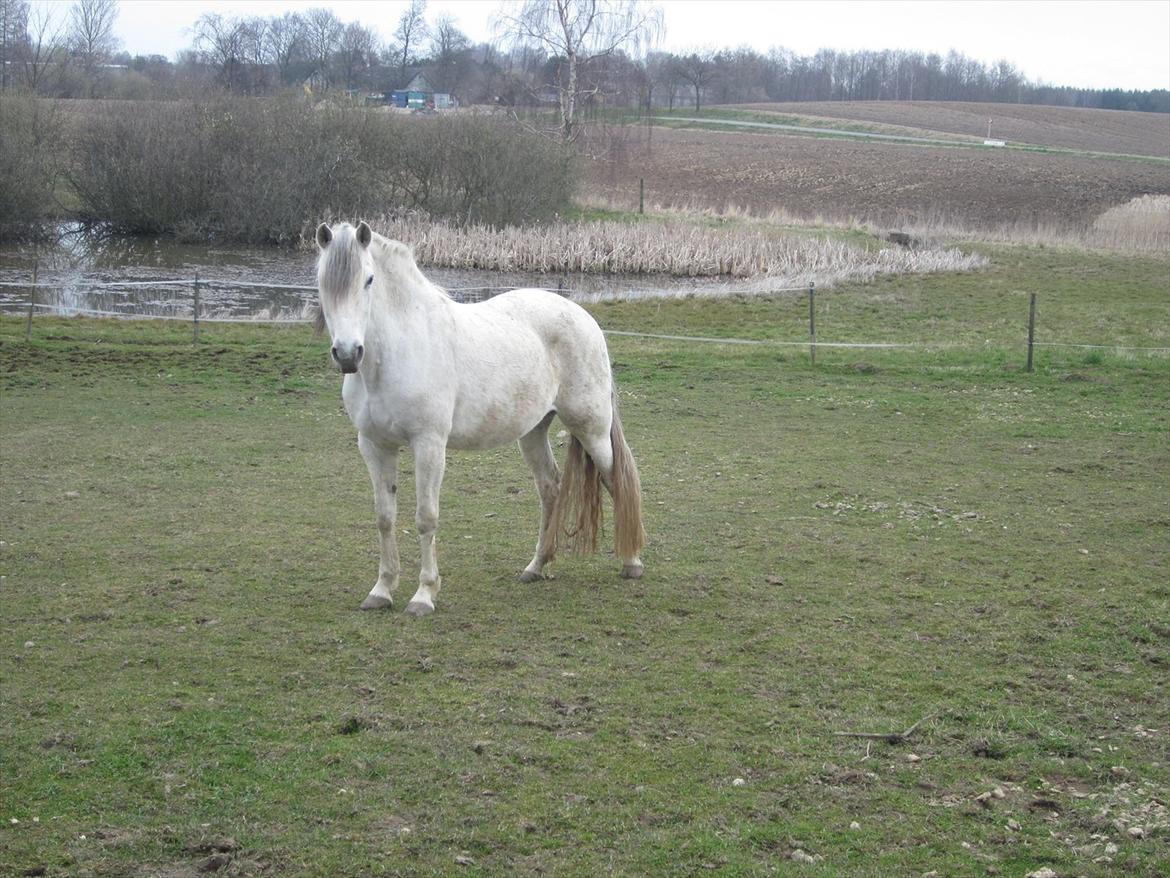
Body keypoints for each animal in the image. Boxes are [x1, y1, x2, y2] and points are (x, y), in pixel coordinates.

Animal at [315, 223, 645, 613]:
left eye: (369, 279)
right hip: (533, 432)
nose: (347, 354)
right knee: (550, 488)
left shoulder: (429, 444)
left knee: (615, 480)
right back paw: (536, 566)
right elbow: (385, 518)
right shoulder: (374, 445)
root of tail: (584, 318)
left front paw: (424, 595)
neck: (401, 349)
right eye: (322, 280)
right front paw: (381, 590)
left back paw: (631, 562)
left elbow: (426, 518)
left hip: (591, 429)